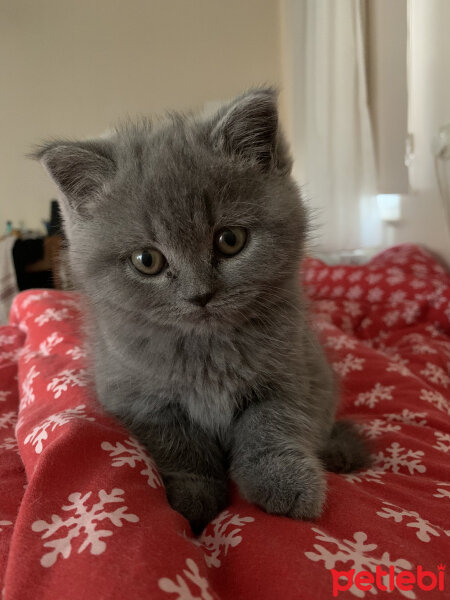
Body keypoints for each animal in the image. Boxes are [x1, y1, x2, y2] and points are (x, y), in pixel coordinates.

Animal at [34, 88, 366, 528]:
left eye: (230, 239)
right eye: (147, 260)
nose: (200, 295)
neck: (207, 351)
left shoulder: (290, 373)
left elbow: (272, 427)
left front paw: (285, 483)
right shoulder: (140, 399)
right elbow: (181, 447)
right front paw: (192, 497)